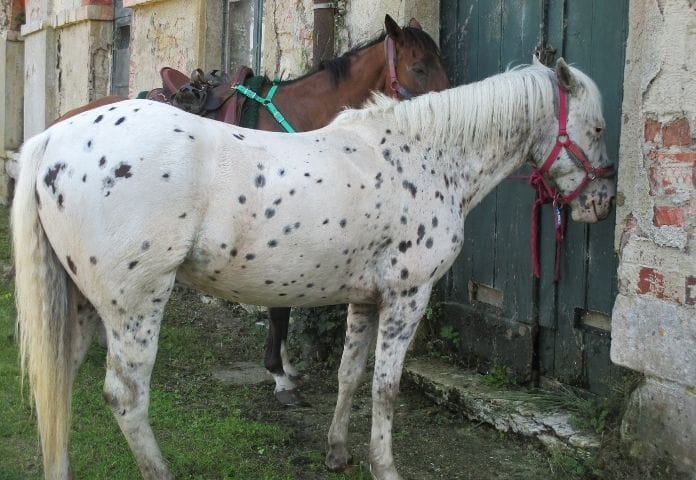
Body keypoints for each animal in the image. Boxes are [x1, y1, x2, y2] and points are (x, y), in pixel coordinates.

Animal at [13, 58, 615, 479]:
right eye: (599, 129)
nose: (604, 201)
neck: (425, 156)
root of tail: (53, 140)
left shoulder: (365, 299)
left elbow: (350, 374)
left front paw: (338, 452)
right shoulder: (408, 296)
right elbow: (386, 387)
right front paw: (385, 466)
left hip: (83, 305)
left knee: (59, 381)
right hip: (135, 306)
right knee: (126, 397)